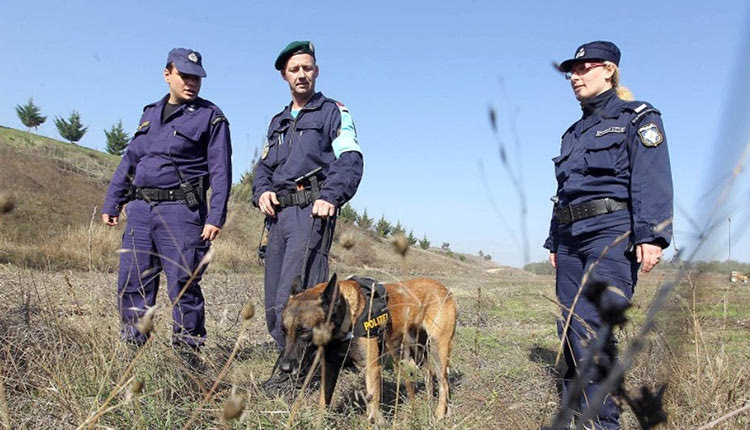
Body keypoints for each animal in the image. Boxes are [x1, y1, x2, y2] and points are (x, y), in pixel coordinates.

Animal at [280, 274, 458, 422]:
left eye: (304, 331)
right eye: (283, 331)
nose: (285, 368)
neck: (347, 315)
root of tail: (445, 289)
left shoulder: (372, 369)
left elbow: (372, 411)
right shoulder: (330, 367)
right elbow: (324, 401)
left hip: (438, 348)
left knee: (443, 382)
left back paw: (439, 414)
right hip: (417, 351)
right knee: (430, 375)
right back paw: (430, 404)